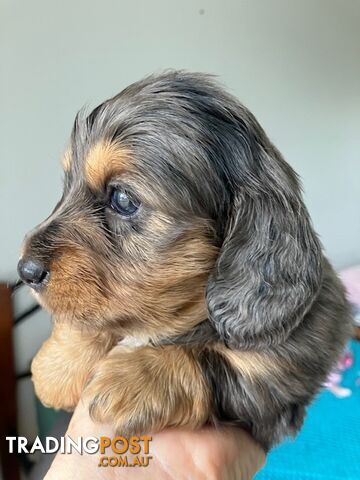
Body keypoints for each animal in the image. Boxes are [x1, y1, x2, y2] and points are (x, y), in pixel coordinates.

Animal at [17, 71, 352, 450]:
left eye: (122, 199)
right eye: (66, 187)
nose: (25, 270)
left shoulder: (283, 374)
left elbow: (211, 359)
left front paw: (135, 376)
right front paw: (58, 366)